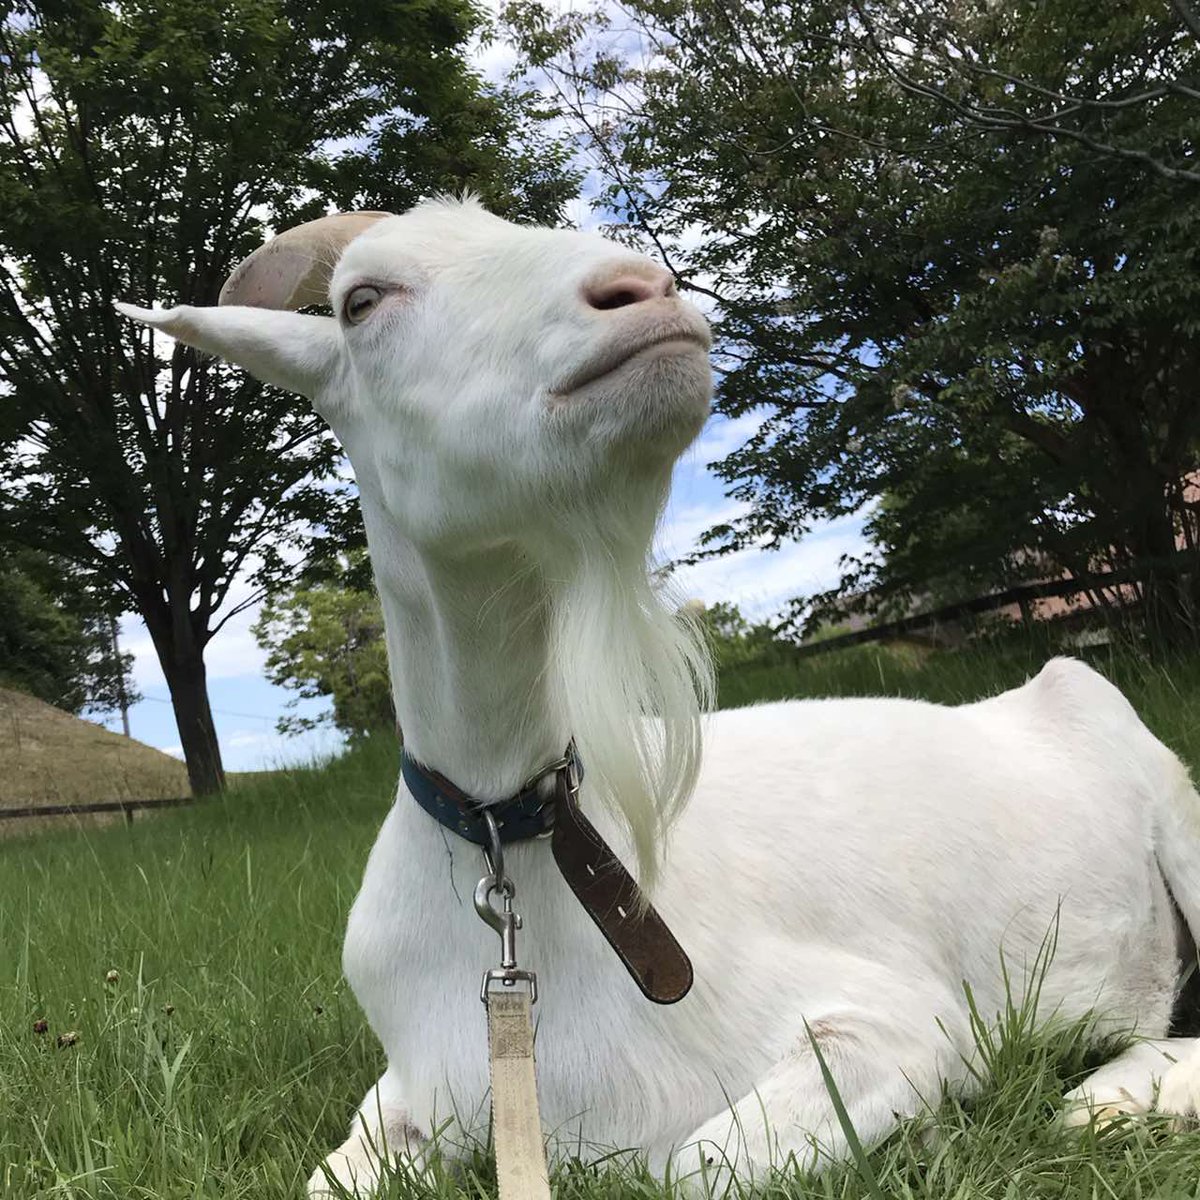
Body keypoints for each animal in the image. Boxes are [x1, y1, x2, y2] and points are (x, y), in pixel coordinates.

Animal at [119, 201, 1200, 1195]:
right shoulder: (414, 1091)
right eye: (362, 301)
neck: (513, 839)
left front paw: (937, 1135)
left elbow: (690, 1166)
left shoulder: (900, 1022)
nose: (643, 290)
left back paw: (1116, 1093)